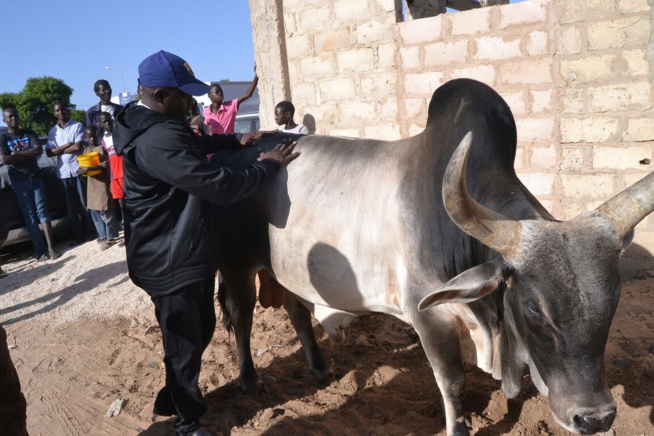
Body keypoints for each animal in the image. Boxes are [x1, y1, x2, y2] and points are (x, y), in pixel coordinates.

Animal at [213, 79, 652, 436]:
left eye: (613, 301)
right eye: (533, 308)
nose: (594, 418)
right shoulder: (428, 314)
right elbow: (452, 382)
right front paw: (459, 427)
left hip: (284, 269)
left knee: (297, 311)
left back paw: (321, 370)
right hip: (236, 265)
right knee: (241, 317)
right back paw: (250, 382)